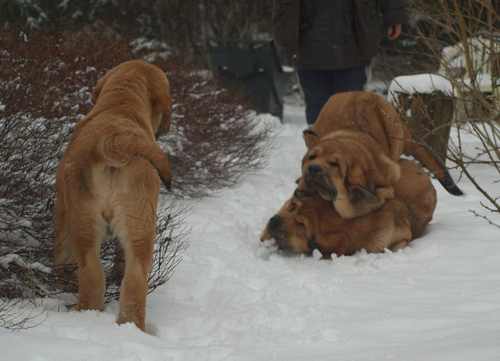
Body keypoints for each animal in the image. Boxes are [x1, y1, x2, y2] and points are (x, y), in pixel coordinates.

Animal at [53, 59, 173, 332]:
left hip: (82, 222)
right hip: (140, 223)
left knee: (92, 274)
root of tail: (109, 145)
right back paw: (132, 327)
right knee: (134, 281)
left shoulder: (62, 210)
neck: (122, 104)